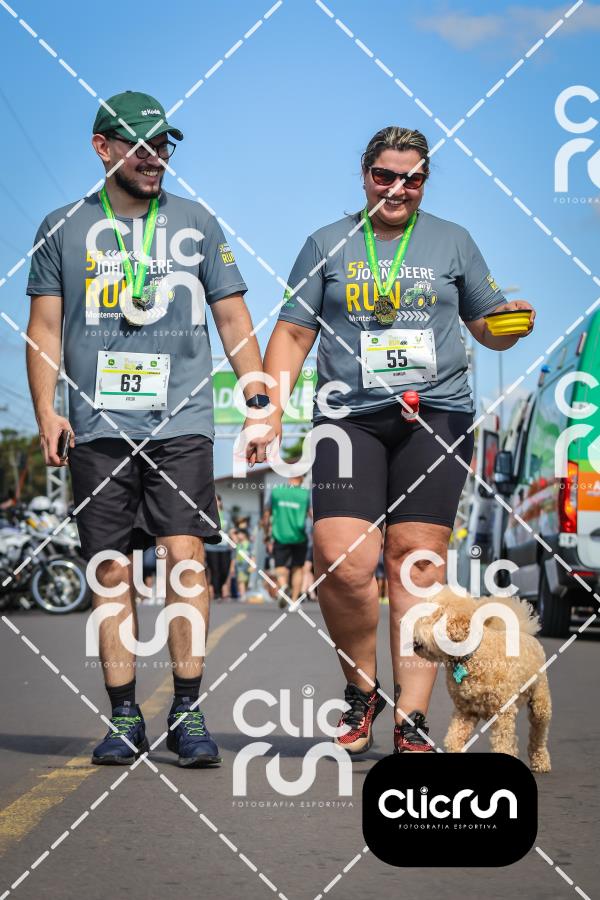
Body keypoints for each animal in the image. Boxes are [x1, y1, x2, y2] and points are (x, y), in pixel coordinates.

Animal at [412, 587, 552, 772]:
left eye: (429, 616)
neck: (471, 656)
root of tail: (522, 631)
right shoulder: (465, 711)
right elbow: (454, 738)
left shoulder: (503, 712)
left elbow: (503, 744)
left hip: (540, 701)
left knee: (539, 732)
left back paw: (541, 761)